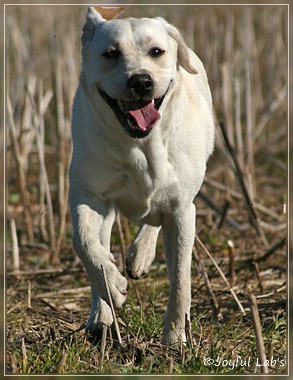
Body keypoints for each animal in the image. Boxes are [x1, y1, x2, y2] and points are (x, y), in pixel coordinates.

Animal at [69, 5, 213, 346]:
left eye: (156, 52)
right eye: (111, 53)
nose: (141, 81)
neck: (140, 144)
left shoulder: (182, 209)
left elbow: (181, 278)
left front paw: (175, 337)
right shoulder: (89, 194)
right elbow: (84, 242)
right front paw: (112, 285)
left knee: (155, 218)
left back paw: (140, 256)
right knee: (101, 241)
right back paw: (101, 315)